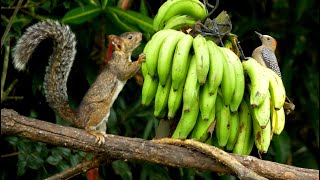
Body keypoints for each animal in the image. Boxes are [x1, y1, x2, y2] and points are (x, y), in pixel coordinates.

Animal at [12, 20, 145, 145]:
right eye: (130, 37)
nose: (141, 34)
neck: (122, 54)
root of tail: (78, 118)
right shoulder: (118, 66)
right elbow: (126, 72)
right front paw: (140, 58)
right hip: (101, 108)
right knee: (87, 127)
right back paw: (95, 132)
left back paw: (103, 134)